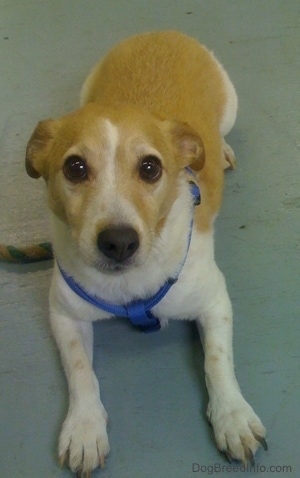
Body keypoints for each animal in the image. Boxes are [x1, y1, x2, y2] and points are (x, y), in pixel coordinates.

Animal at [25, 31, 268, 476]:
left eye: (151, 168)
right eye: (75, 168)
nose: (119, 241)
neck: (128, 287)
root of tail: (163, 32)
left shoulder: (214, 300)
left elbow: (217, 360)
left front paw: (233, 416)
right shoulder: (64, 314)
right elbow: (80, 371)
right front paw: (85, 428)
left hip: (230, 104)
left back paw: (222, 149)